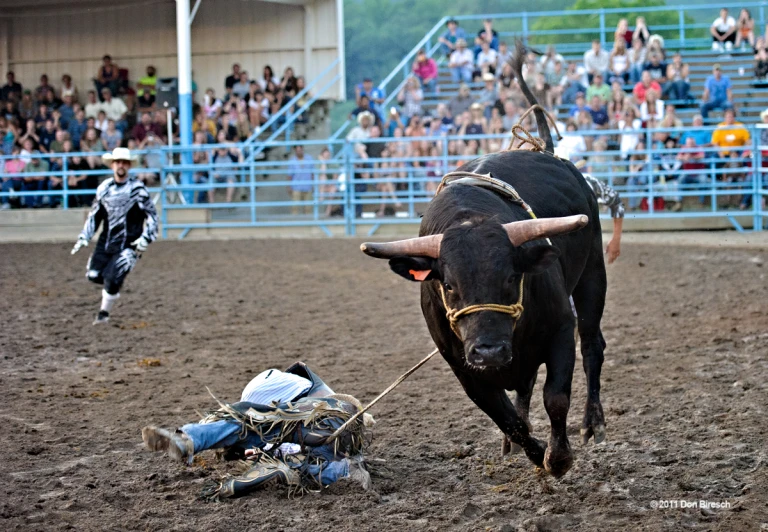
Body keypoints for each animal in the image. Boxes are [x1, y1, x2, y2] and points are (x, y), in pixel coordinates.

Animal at [364, 151, 608, 478]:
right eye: (449, 285)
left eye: (511, 277)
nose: (489, 351)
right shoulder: (464, 369)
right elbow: (507, 419)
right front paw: (534, 451)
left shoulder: (561, 331)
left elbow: (555, 398)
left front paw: (558, 458)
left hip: (593, 273)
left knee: (592, 348)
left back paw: (593, 424)